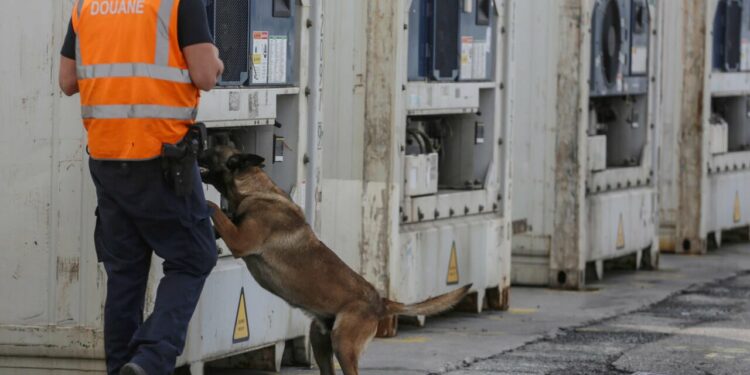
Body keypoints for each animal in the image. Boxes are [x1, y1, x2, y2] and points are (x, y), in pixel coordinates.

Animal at [200, 146, 470, 375]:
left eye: (212, 150)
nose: (197, 143)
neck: (256, 190)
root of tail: (381, 302)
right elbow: (221, 216)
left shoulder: (240, 241)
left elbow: (215, 207)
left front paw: (205, 202)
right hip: (320, 342)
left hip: (343, 344)